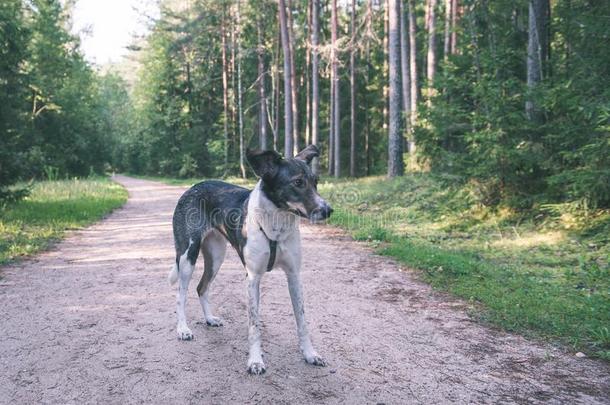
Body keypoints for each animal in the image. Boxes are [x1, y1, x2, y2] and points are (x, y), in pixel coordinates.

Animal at [167, 144, 332, 372]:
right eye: (298, 182)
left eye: (316, 182)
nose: (328, 210)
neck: (277, 225)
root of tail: (193, 187)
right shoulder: (253, 278)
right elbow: (254, 325)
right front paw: (255, 361)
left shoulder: (294, 275)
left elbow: (302, 320)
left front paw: (310, 354)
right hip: (187, 257)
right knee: (180, 294)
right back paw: (183, 329)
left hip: (216, 257)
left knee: (202, 287)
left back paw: (209, 319)